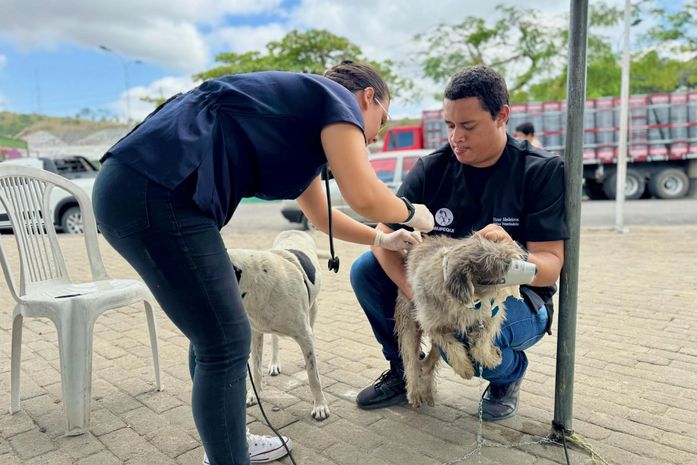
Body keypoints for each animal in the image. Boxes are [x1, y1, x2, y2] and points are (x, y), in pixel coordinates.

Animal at [226, 230, 328, 418]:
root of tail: (294, 231)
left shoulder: (304, 335)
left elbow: (313, 376)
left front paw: (320, 405)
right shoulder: (256, 333)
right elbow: (256, 368)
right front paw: (254, 394)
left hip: (313, 309)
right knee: (275, 339)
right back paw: (274, 363)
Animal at [394, 236, 524, 406]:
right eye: (504, 265)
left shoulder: (491, 315)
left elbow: (482, 341)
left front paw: (488, 357)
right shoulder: (433, 325)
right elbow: (451, 346)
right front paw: (464, 368)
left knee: (428, 364)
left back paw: (427, 390)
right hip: (409, 325)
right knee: (412, 362)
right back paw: (415, 392)